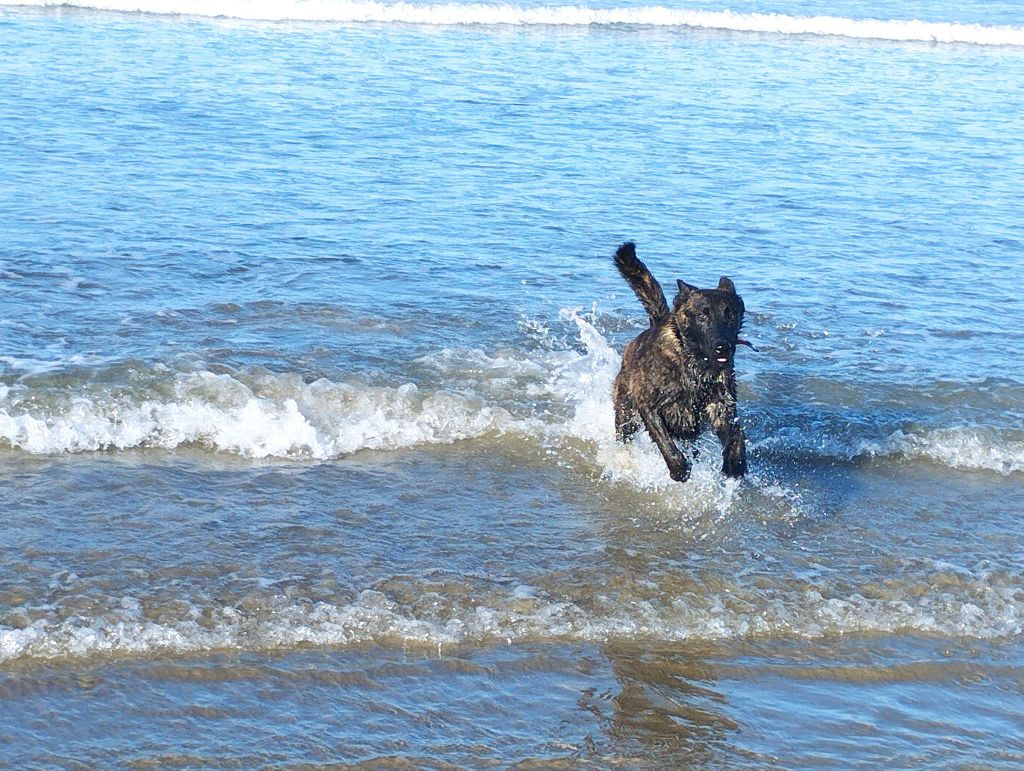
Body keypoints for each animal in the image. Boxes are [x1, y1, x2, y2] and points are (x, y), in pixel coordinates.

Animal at [606, 241, 753, 481]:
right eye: (703, 315)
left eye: (730, 314)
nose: (723, 346)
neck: (696, 365)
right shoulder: (649, 405)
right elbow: (664, 440)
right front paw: (679, 469)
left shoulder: (720, 406)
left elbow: (737, 434)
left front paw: (735, 463)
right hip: (625, 412)